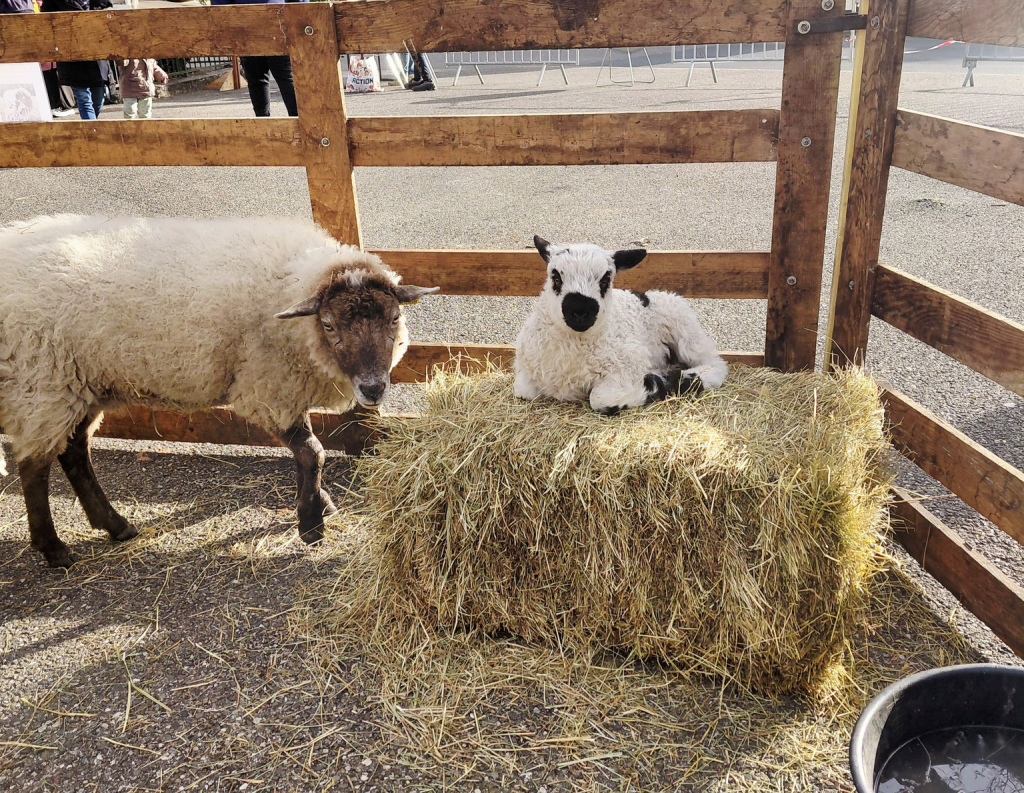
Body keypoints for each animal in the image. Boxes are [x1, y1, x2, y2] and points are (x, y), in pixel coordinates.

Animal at [0, 215, 437, 568]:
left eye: (394, 318)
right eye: (328, 325)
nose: (373, 389)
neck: (291, 285)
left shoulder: (283, 388)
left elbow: (310, 453)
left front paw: (320, 504)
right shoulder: (266, 388)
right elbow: (312, 452)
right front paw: (311, 523)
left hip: (81, 384)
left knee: (74, 451)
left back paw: (115, 525)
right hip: (43, 381)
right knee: (34, 466)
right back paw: (53, 548)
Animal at [514, 236, 728, 415]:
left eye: (606, 280)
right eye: (556, 278)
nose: (580, 311)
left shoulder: (631, 363)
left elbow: (599, 399)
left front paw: (656, 383)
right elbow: (522, 390)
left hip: (685, 331)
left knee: (715, 363)